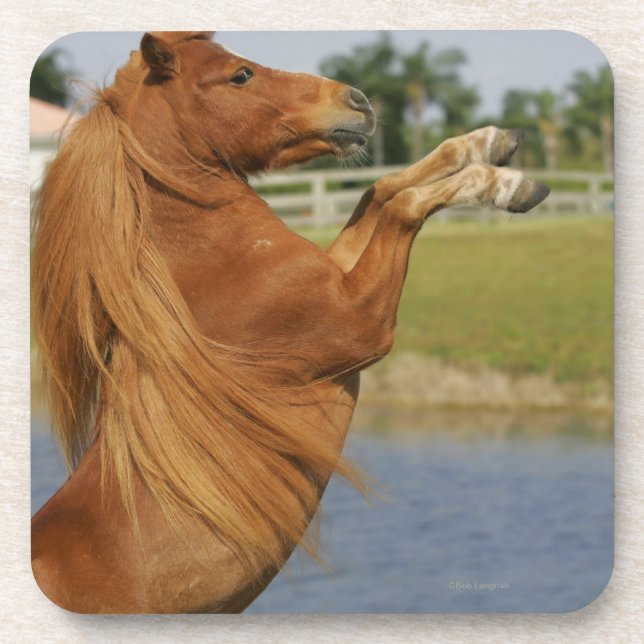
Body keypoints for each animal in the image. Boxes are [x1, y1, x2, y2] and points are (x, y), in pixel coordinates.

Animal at [31, 31, 549, 613]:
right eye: (241, 74)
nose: (359, 101)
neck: (212, 264)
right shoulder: (361, 322)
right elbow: (401, 204)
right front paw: (505, 183)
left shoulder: (337, 275)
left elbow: (380, 189)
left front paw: (491, 142)